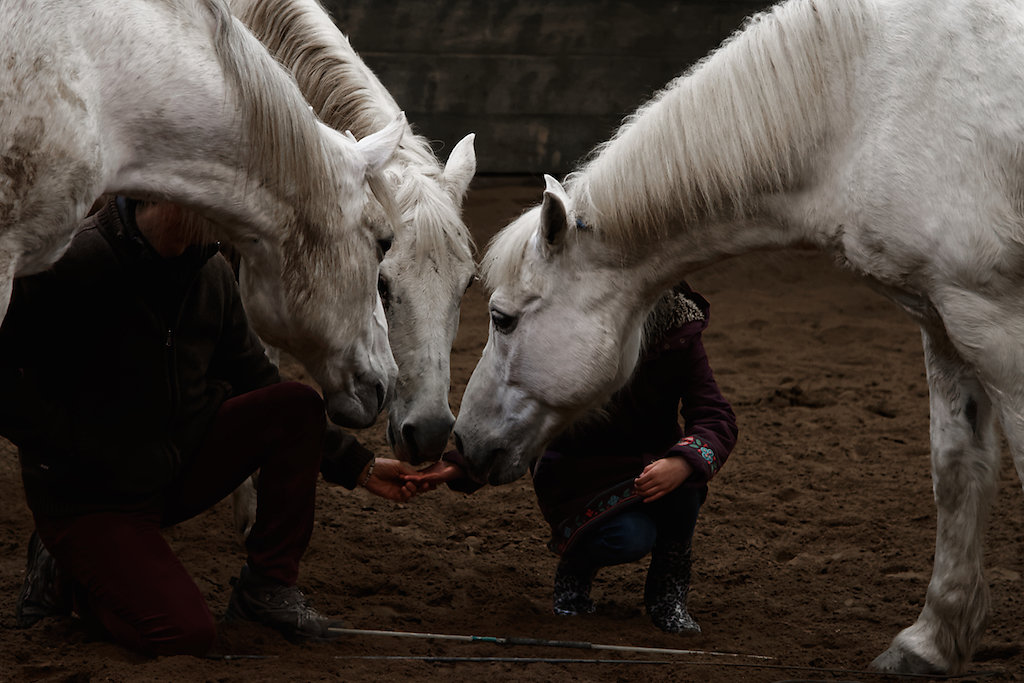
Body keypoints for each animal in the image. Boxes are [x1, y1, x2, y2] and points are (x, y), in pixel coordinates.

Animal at [454, 0, 1024, 675]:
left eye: (502, 318)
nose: (462, 443)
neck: (867, 102)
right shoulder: (942, 318)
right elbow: (959, 470)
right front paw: (930, 642)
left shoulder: (996, 320)